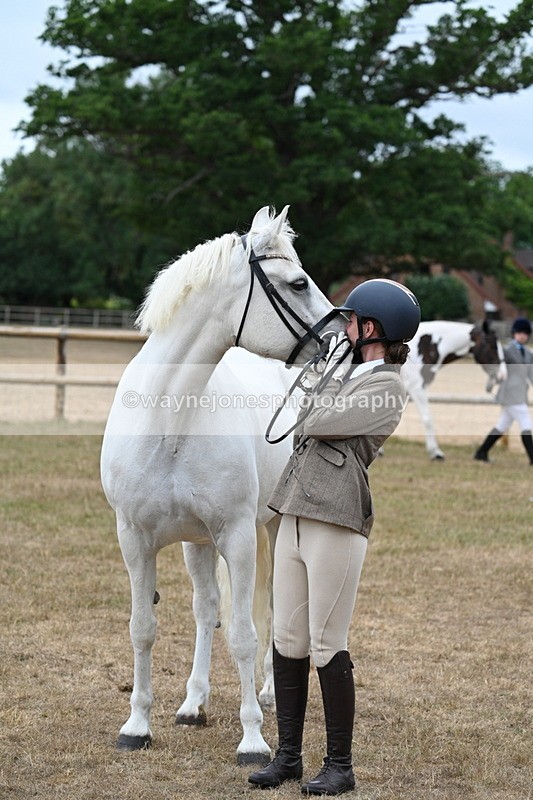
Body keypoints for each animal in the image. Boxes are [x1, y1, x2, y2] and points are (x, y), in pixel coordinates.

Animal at [100, 205, 344, 765]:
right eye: (298, 283)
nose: (341, 338)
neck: (170, 419)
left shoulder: (236, 535)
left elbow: (244, 634)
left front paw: (253, 739)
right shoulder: (135, 541)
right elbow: (144, 629)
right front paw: (137, 726)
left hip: (270, 530)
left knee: (272, 609)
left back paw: (269, 694)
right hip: (197, 542)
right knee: (206, 609)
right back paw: (193, 703)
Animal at [401, 320, 507, 459]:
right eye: (493, 347)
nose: (503, 375)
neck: (426, 346)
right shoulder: (417, 388)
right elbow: (428, 419)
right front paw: (436, 453)